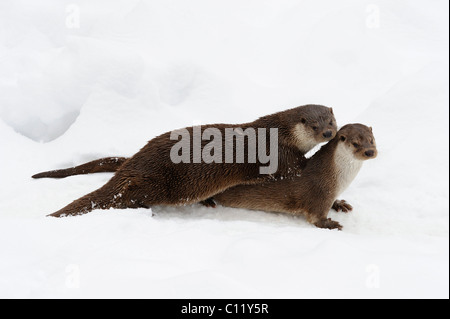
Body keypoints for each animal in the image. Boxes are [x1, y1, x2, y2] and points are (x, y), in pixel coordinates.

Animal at [34, 105, 338, 218]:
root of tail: (133, 164)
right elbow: (296, 170)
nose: (328, 133)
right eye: (314, 126)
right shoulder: (279, 155)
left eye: (331, 121)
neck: (279, 133)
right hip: (157, 183)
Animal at [210, 124, 376, 231]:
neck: (337, 178)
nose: (370, 152)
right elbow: (316, 218)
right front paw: (331, 224)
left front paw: (339, 204)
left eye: (372, 140)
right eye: (355, 143)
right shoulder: (320, 194)